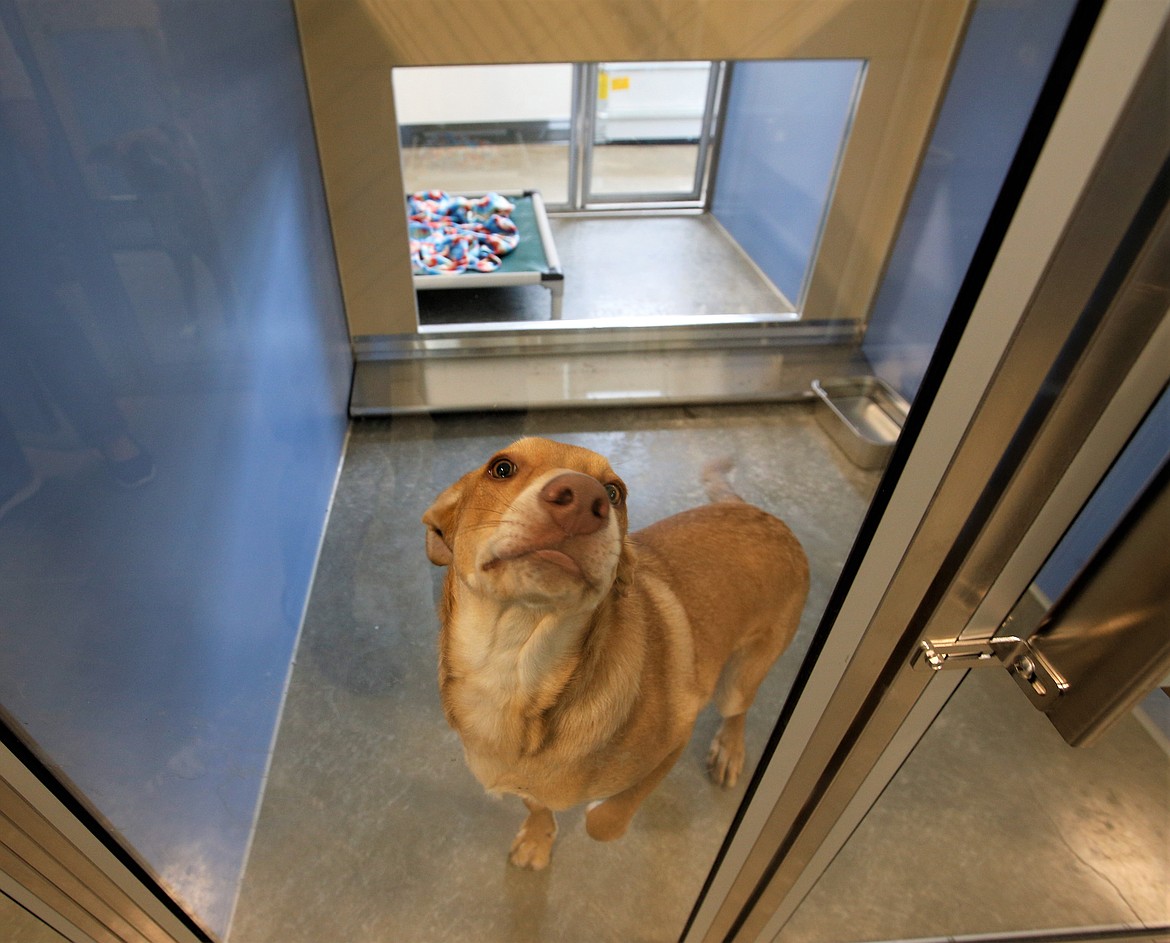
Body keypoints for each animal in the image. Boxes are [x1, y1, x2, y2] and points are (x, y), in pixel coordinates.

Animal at [423, 439, 814, 865]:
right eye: (501, 468)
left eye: (614, 493)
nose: (583, 499)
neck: (514, 669)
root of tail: (761, 514)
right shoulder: (526, 780)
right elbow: (537, 801)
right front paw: (539, 837)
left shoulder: (677, 737)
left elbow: (605, 820)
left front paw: (597, 811)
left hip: (739, 679)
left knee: (737, 710)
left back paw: (729, 749)